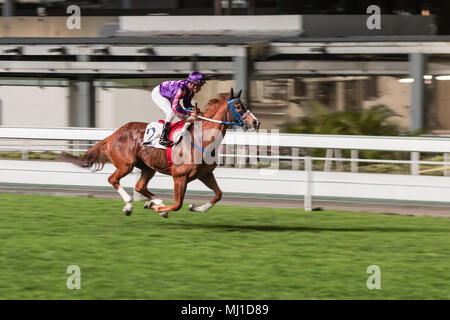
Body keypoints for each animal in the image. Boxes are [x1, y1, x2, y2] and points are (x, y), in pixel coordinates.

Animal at [62, 88, 260, 218]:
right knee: (113, 179)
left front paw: (195, 207)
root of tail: (113, 135)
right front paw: (160, 210)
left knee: (140, 186)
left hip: (147, 167)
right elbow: (177, 204)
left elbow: (218, 195)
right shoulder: (179, 177)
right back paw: (130, 205)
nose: (256, 122)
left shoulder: (205, 174)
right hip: (126, 165)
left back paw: (153, 202)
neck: (202, 139)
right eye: (239, 107)